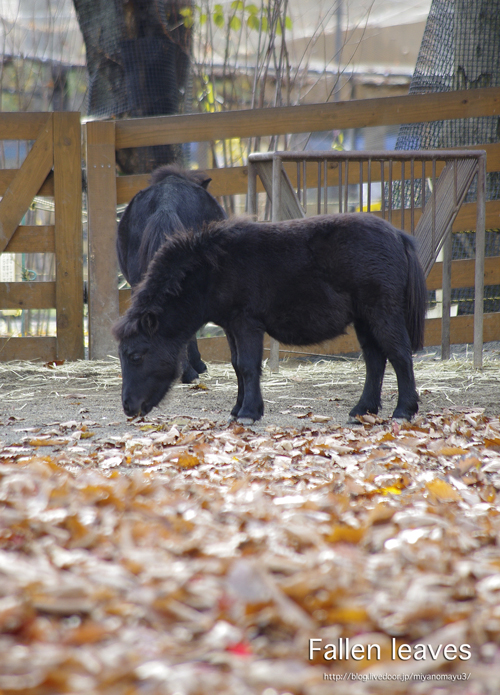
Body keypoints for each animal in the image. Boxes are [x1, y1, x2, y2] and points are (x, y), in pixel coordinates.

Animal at [115, 213, 428, 424]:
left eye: (135, 356)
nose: (128, 407)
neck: (214, 268)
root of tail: (397, 235)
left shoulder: (246, 324)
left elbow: (248, 366)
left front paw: (248, 413)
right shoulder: (231, 327)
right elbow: (237, 366)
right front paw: (238, 409)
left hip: (382, 314)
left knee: (400, 356)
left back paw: (403, 411)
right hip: (365, 320)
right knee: (375, 361)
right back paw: (363, 410)